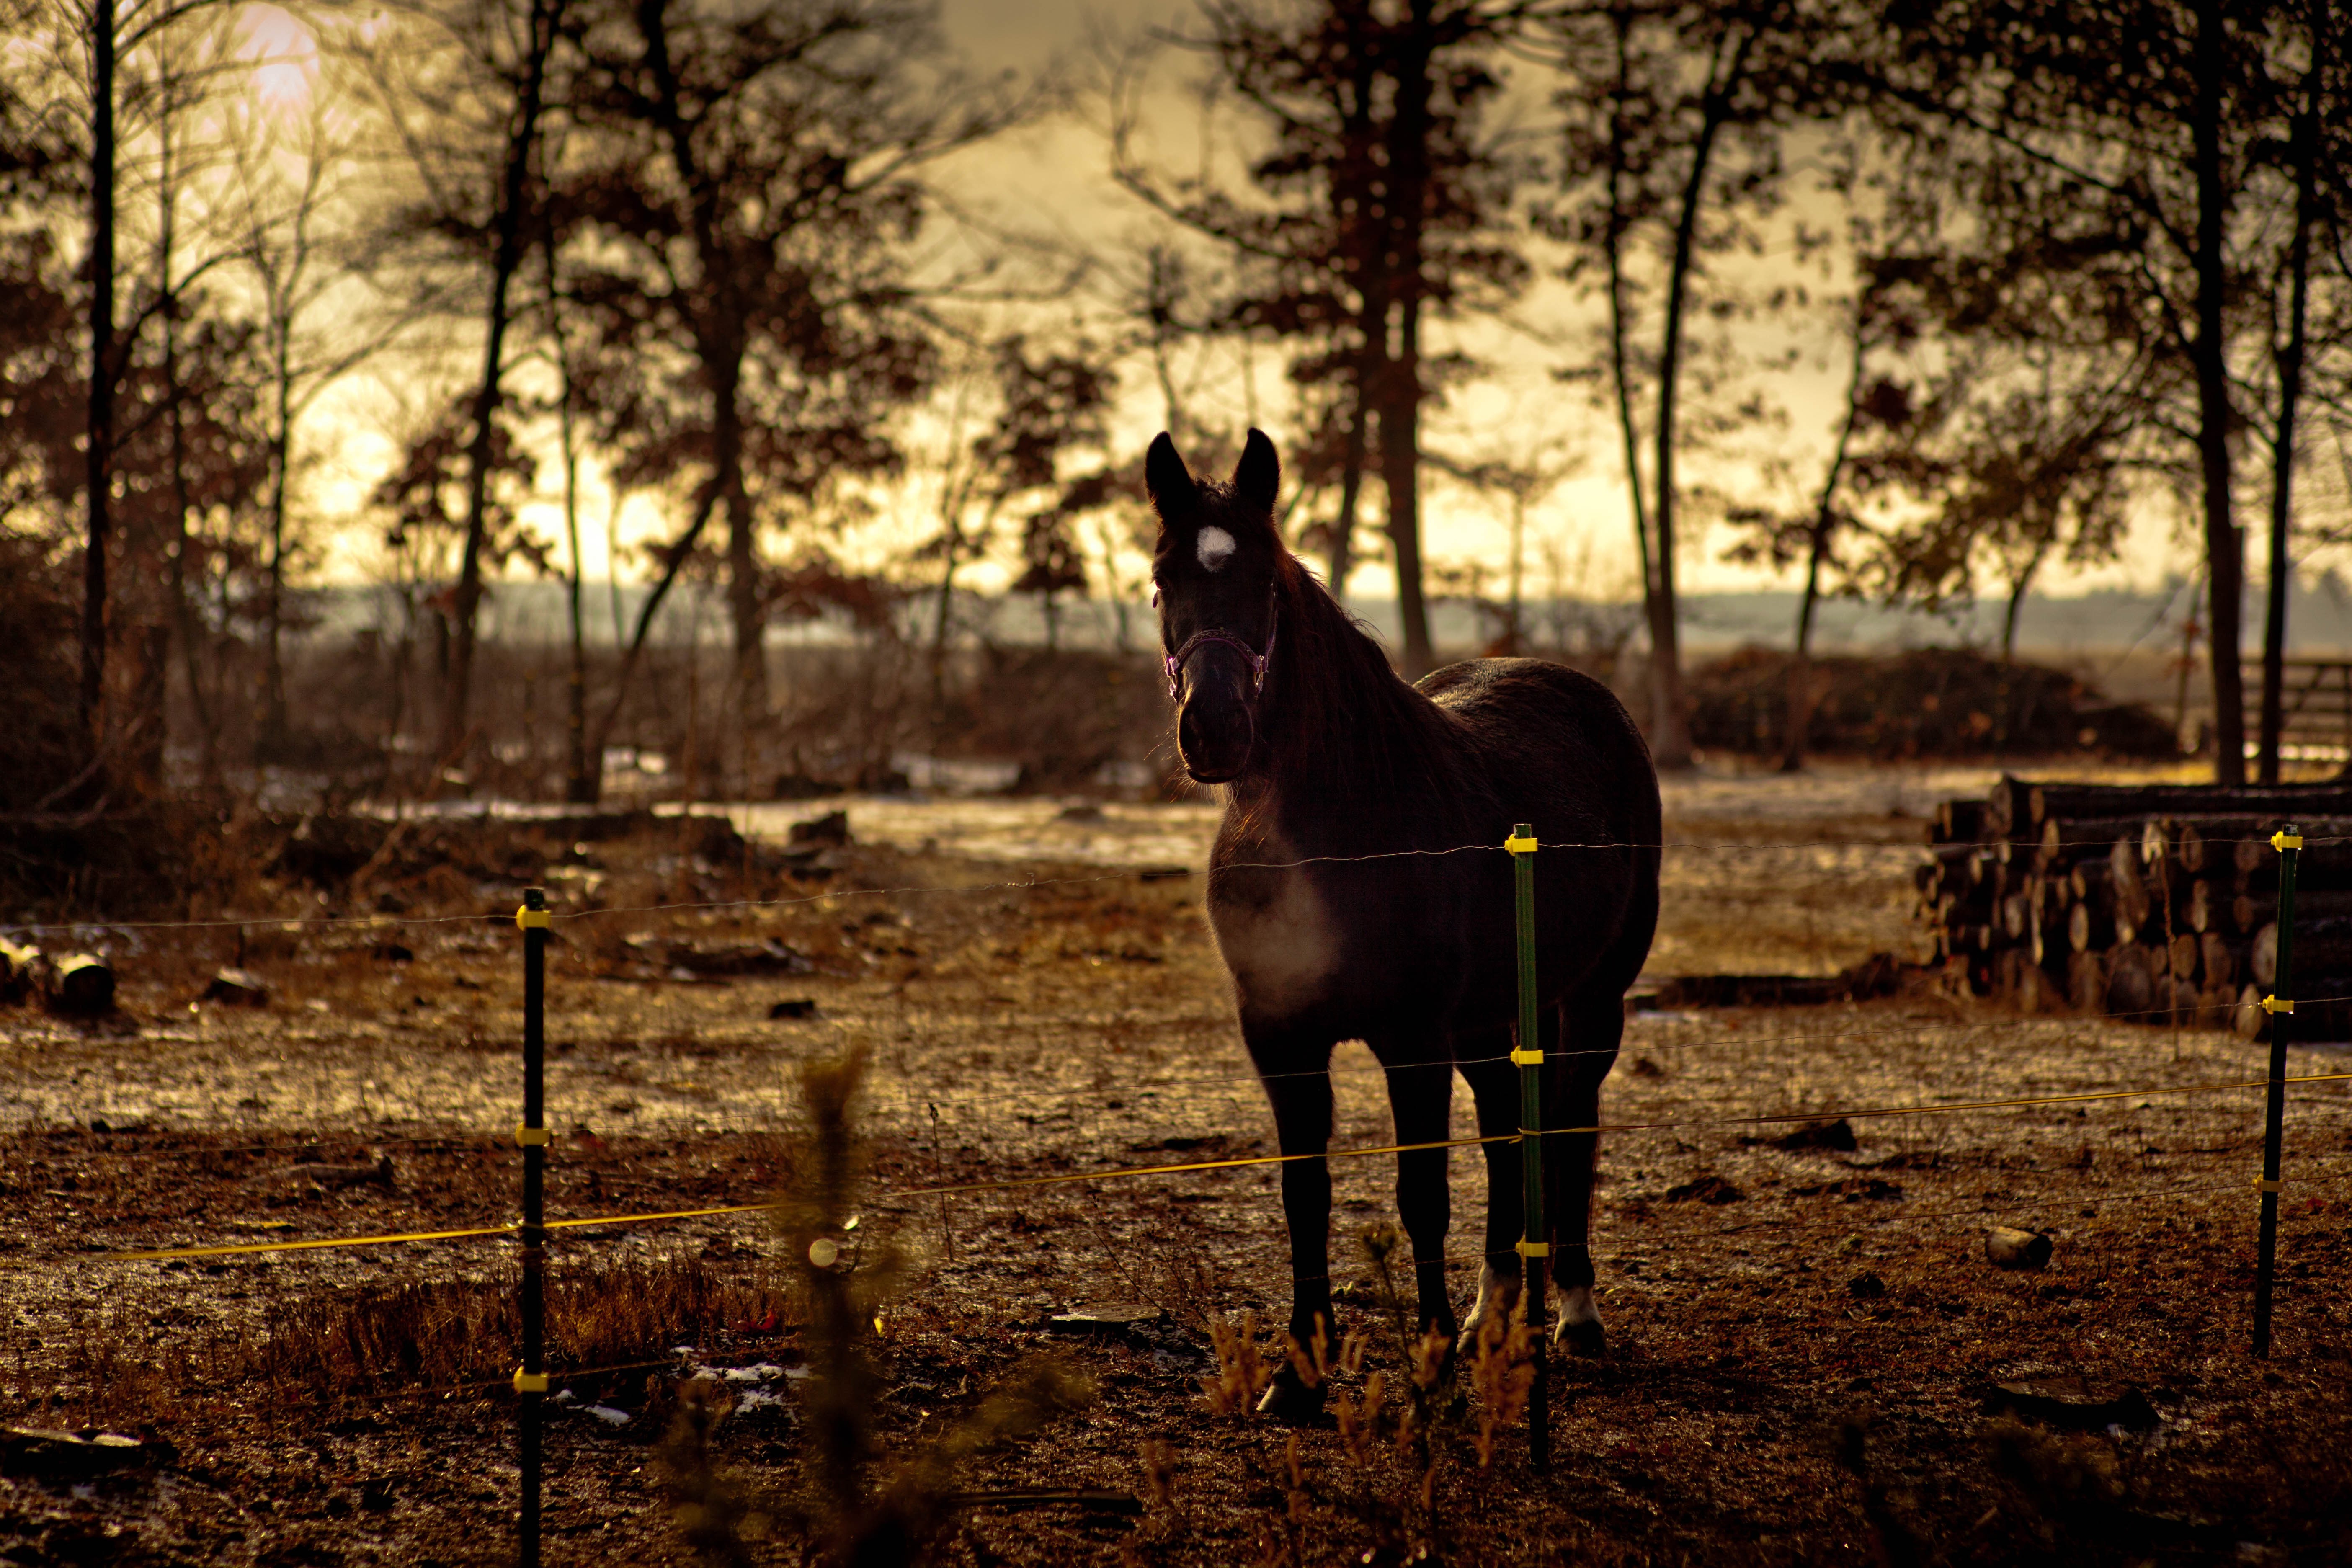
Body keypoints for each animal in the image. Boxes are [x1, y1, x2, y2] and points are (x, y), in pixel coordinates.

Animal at [1138, 430, 1656, 1420]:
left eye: (1265, 583)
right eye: (1161, 579)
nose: (1212, 730)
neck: (1336, 832)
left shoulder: (1411, 1038)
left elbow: (1423, 1192)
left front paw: (1429, 1365)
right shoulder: (1282, 1038)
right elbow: (1306, 1191)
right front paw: (1299, 1375)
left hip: (1592, 999)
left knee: (1570, 1123)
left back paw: (1573, 1315)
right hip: (1492, 1018)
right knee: (1505, 1128)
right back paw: (1494, 1318)